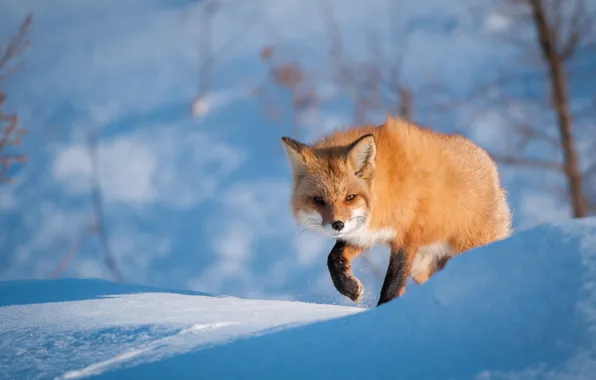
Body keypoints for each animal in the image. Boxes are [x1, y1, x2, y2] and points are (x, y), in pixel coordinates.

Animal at [280, 117, 512, 308]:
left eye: (350, 197)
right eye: (318, 200)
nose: (337, 225)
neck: (386, 186)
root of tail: (489, 163)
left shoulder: (408, 235)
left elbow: (393, 282)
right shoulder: (365, 233)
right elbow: (333, 258)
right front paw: (350, 288)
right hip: (421, 268)